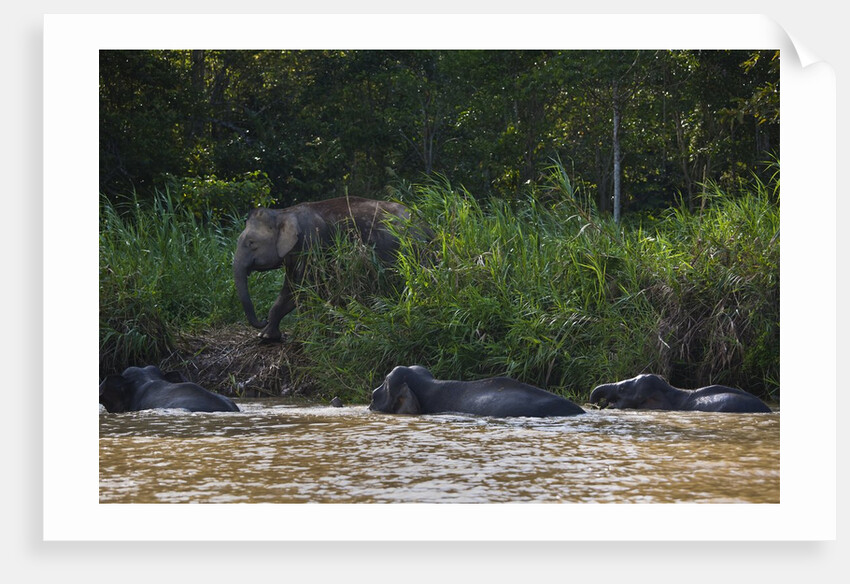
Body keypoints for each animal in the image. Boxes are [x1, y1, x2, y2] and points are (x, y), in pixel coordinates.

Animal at [233, 196, 425, 341]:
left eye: (251, 243)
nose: (262, 320)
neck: (284, 213)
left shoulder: (312, 243)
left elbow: (306, 289)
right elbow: (291, 290)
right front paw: (266, 336)